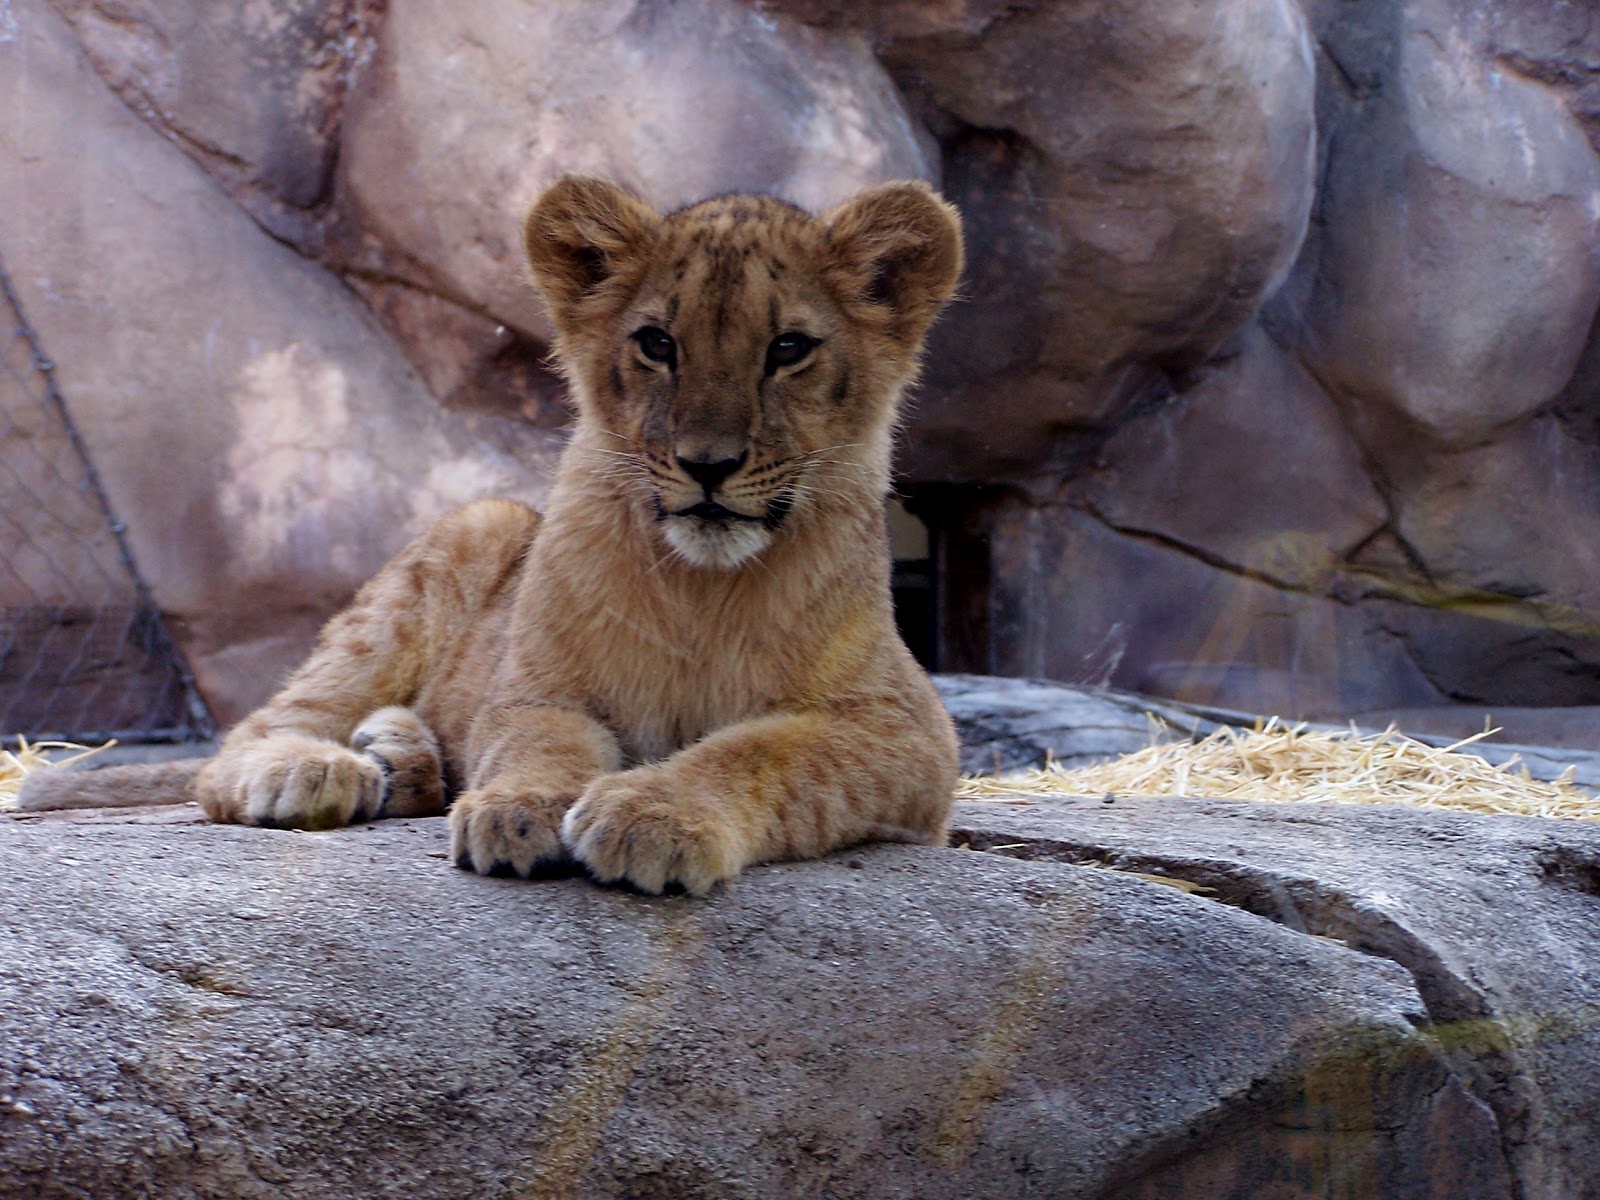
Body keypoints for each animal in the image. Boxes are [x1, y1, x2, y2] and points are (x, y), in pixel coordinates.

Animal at [18, 175, 965, 895]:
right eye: (657, 343)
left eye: (790, 349)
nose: (707, 465)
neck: (703, 583)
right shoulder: (543, 688)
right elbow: (537, 740)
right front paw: (518, 812)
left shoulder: (906, 734)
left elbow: (757, 753)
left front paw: (649, 812)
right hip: (469, 533)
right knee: (239, 745)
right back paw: (318, 772)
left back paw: (398, 758)